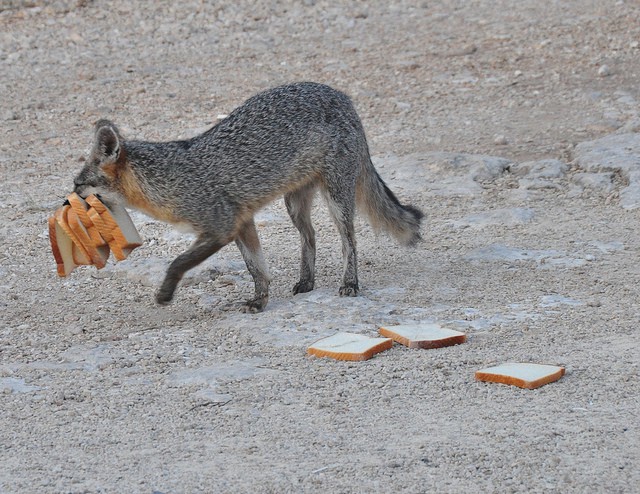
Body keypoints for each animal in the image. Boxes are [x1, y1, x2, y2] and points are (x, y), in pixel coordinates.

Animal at [74, 82, 424, 310]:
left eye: (79, 186)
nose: (67, 200)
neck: (170, 178)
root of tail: (341, 96)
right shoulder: (242, 223)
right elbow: (257, 267)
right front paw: (259, 300)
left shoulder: (221, 227)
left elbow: (178, 262)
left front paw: (165, 294)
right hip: (294, 205)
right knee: (310, 237)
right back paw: (307, 281)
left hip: (337, 199)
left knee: (347, 242)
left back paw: (350, 282)